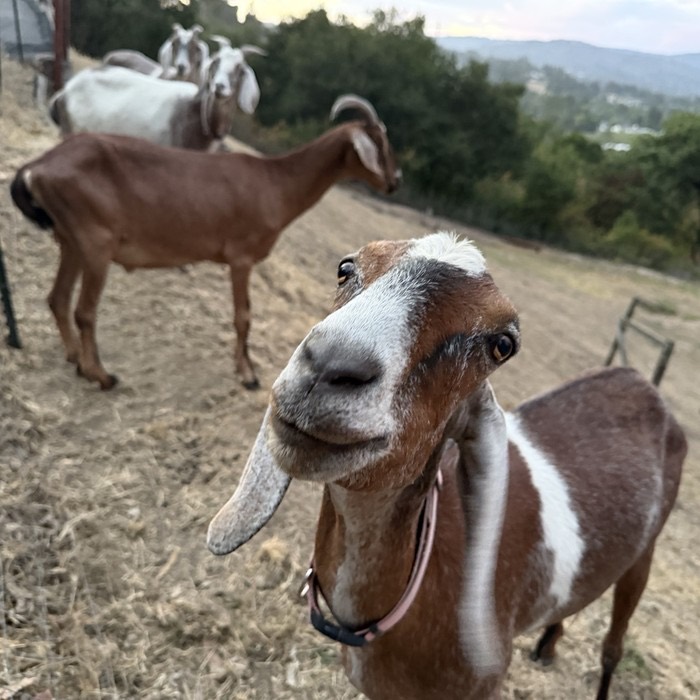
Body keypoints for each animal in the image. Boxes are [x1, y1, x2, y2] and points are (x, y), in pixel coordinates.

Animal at [10, 95, 401, 391]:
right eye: (379, 144)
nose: (394, 181)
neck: (275, 182)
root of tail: (36, 167)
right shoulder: (241, 258)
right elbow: (243, 316)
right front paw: (247, 374)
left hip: (70, 240)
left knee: (57, 298)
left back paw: (75, 358)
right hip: (95, 243)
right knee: (83, 310)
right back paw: (100, 375)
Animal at [207, 232, 686, 700]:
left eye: (503, 344)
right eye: (345, 268)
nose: (329, 365)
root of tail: (642, 382)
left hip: (645, 554)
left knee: (613, 646)